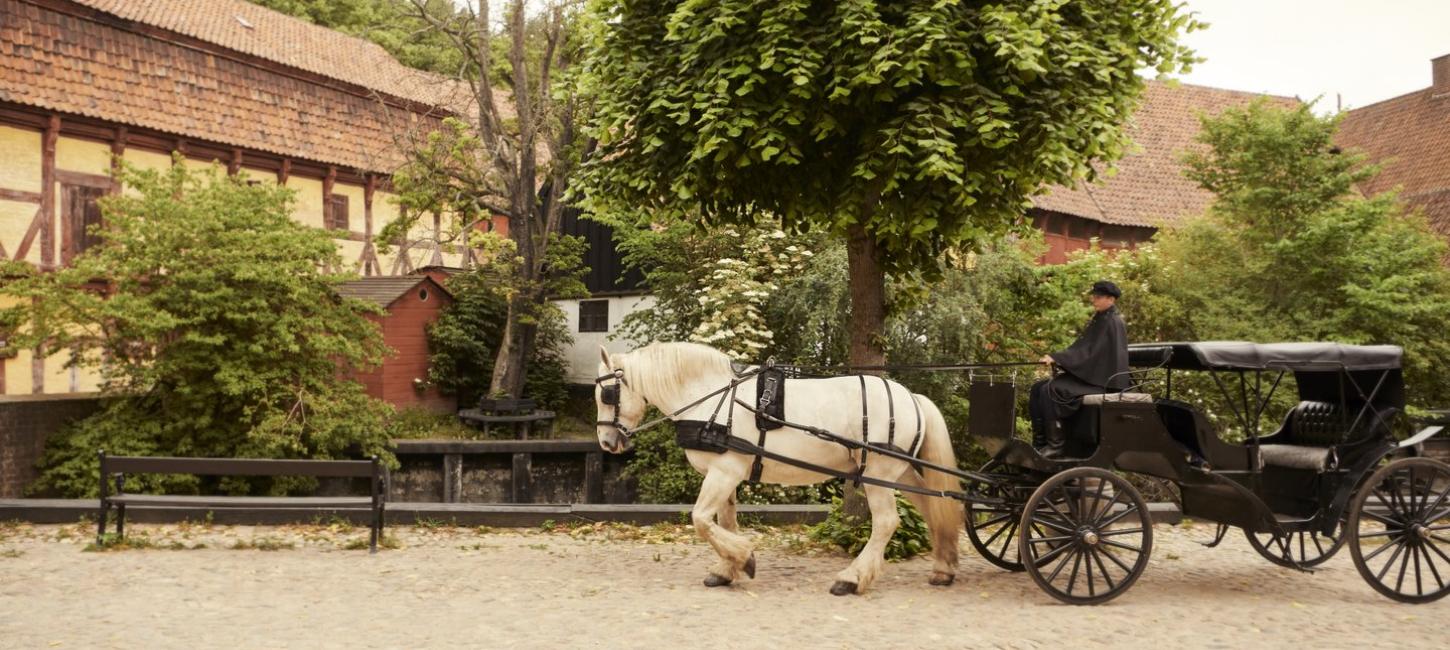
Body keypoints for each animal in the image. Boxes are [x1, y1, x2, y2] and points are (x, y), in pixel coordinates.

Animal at [593, 342, 964, 595]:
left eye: (608, 394)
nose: (607, 442)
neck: (711, 398)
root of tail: (912, 397)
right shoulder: (727, 475)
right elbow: (724, 521)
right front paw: (727, 569)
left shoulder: (723, 472)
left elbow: (700, 520)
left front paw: (745, 558)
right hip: (900, 472)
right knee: (933, 508)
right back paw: (943, 567)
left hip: (878, 475)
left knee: (887, 522)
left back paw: (852, 578)